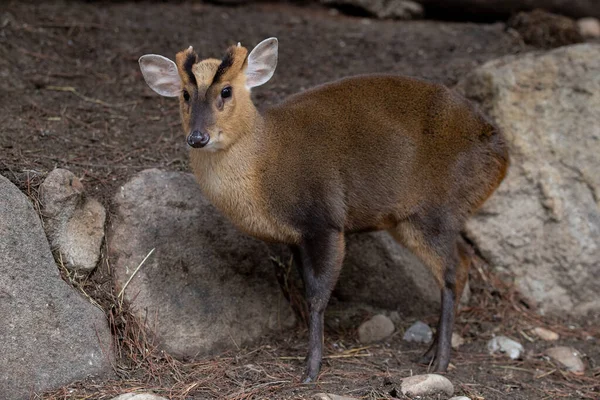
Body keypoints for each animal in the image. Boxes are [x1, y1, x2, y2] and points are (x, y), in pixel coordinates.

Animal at [138, 38, 508, 384]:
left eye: (226, 91)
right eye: (185, 94)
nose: (198, 137)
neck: (263, 166)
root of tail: (501, 155)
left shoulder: (324, 219)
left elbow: (317, 298)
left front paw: (310, 370)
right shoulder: (295, 237)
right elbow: (307, 291)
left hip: (435, 210)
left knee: (455, 269)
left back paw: (440, 361)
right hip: (408, 220)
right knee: (460, 263)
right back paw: (431, 352)